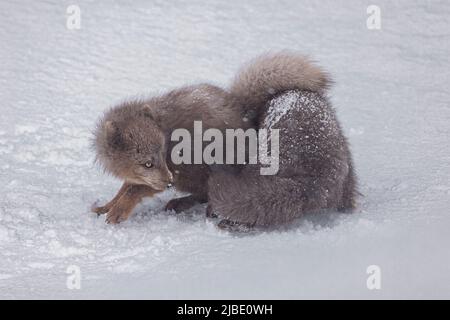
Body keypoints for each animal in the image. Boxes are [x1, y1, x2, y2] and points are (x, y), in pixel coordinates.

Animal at [93, 52, 356, 228]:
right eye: (147, 163)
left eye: (161, 154)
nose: (168, 183)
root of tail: (245, 113)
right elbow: (125, 188)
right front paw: (106, 206)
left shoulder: (168, 172)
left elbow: (133, 191)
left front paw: (117, 213)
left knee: (206, 194)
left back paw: (189, 205)